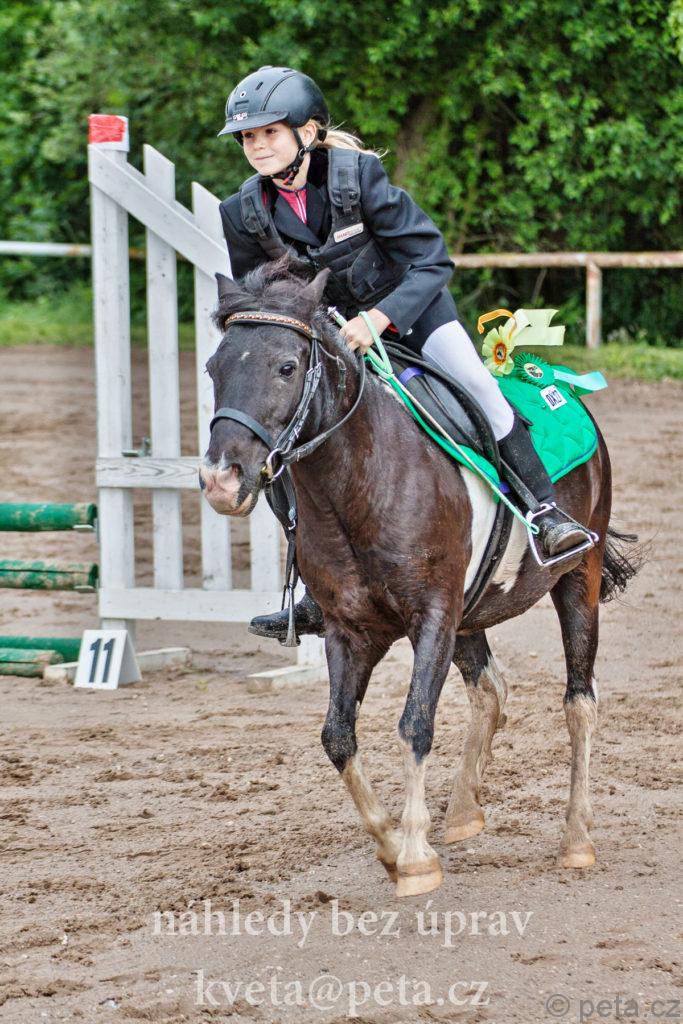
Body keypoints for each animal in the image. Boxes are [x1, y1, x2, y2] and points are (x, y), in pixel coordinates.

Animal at [199, 259, 639, 898]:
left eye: (286, 367)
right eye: (214, 368)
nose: (220, 481)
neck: (359, 484)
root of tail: (554, 379)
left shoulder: (431, 615)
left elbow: (415, 725)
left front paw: (412, 857)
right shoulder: (351, 631)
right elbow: (337, 737)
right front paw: (390, 841)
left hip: (575, 578)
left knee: (579, 701)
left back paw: (577, 839)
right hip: (471, 609)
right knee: (489, 689)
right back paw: (462, 812)